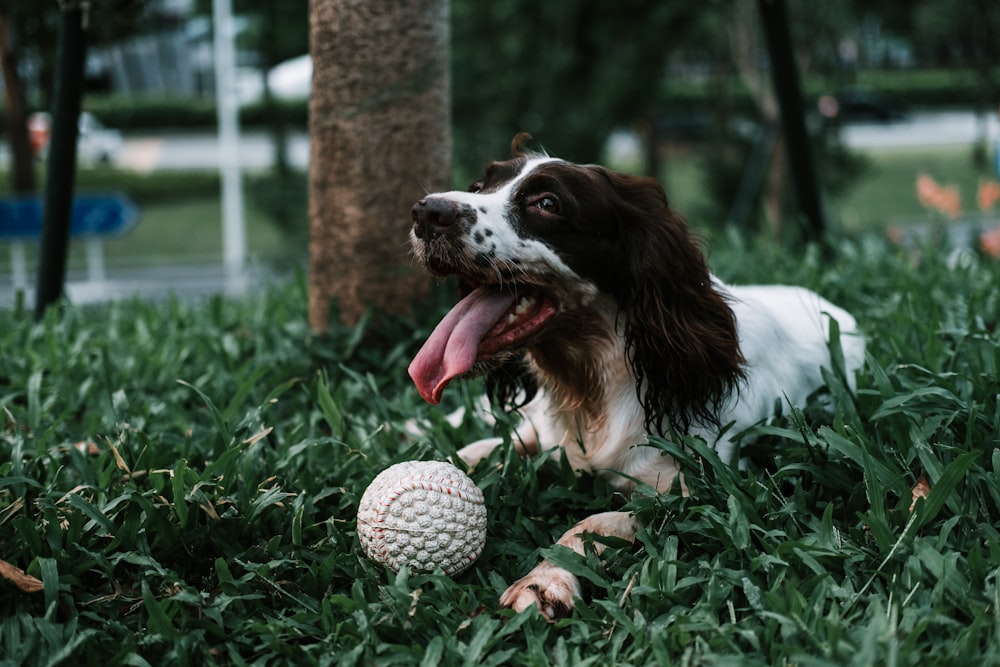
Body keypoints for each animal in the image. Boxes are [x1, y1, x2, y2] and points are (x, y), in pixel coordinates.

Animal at [406, 134, 868, 620]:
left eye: (547, 203)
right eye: (479, 186)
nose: (426, 212)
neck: (594, 382)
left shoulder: (696, 489)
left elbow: (595, 522)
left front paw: (544, 580)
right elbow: (481, 449)